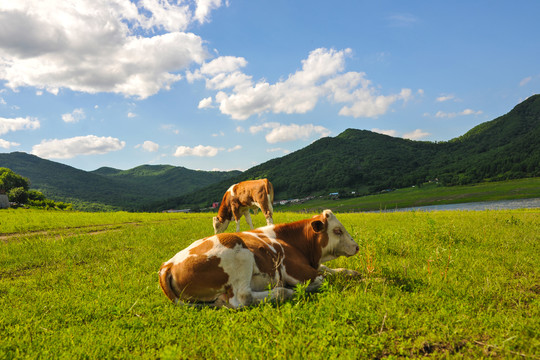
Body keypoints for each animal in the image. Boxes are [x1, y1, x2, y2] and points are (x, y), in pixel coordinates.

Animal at [158, 210, 360, 308]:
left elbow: (334, 270)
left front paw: (354, 273)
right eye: (337, 230)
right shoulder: (294, 269)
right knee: (244, 298)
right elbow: (322, 278)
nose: (357, 246)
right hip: (239, 251)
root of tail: (168, 264)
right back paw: (285, 292)